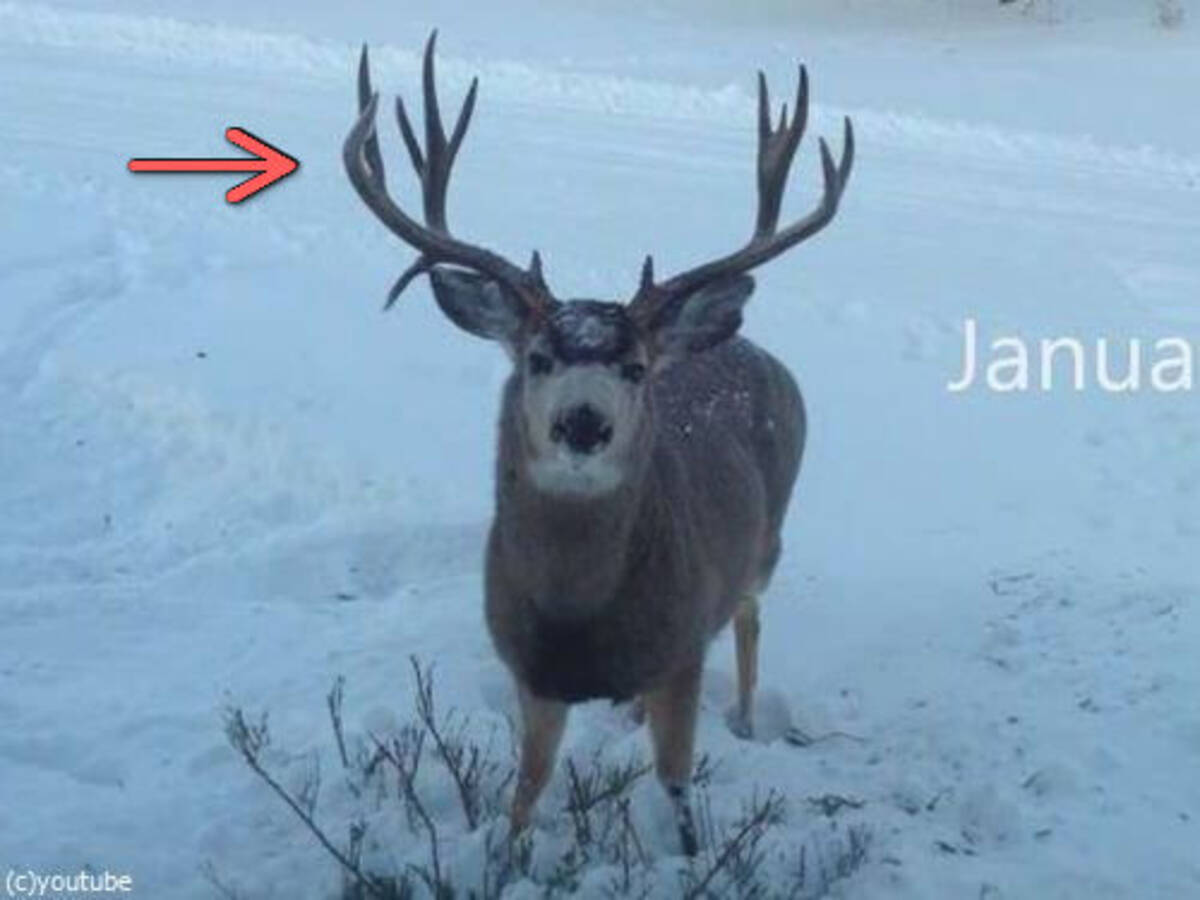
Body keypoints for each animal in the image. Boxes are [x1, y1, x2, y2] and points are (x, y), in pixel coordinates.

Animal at [344, 33, 853, 855]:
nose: (583, 423)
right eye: (536, 358)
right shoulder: (530, 672)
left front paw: (690, 856)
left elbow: (677, 787)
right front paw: (504, 861)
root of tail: (748, 345)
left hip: (768, 538)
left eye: (634, 367)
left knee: (749, 618)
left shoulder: (683, 648)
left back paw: (746, 717)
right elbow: (525, 792)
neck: (579, 619)